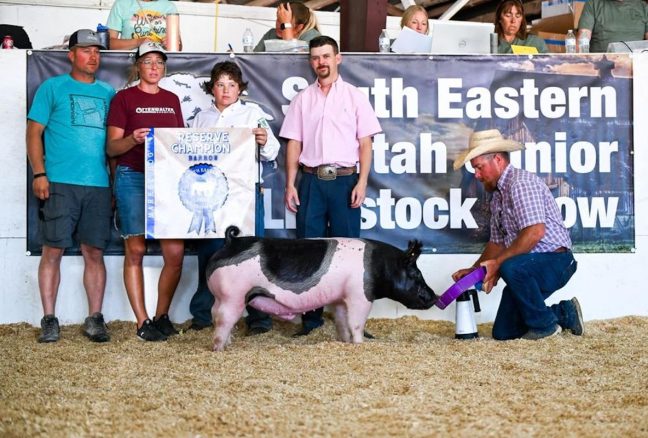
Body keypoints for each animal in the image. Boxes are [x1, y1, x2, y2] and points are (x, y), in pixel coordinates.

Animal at [208, 228, 440, 350]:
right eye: (416, 274)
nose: (435, 297)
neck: (380, 267)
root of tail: (230, 240)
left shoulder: (340, 299)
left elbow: (342, 323)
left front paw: (345, 342)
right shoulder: (359, 296)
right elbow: (357, 324)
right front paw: (360, 344)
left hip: (222, 297)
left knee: (216, 315)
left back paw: (228, 344)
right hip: (234, 295)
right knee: (223, 321)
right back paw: (220, 349)